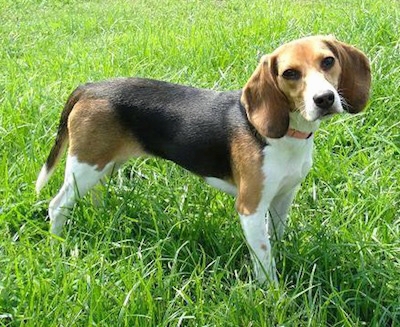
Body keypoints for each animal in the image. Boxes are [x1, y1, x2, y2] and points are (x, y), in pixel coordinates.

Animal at [36, 34, 370, 284]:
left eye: (328, 61)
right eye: (290, 73)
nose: (324, 99)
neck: (288, 134)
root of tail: (89, 88)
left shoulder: (283, 196)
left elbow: (275, 237)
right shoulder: (250, 208)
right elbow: (263, 257)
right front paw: (272, 294)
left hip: (103, 164)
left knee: (92, 194)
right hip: (84, 166)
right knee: (57, 205)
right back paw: (57, 246)